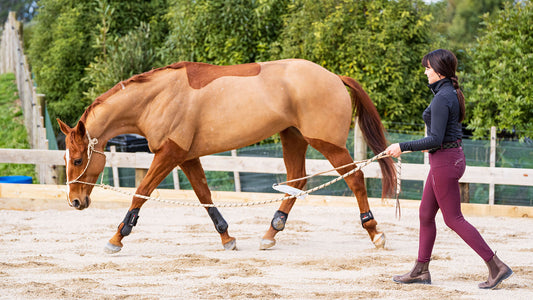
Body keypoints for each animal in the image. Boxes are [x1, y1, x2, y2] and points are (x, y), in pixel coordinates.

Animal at [58, 58, 396, 253]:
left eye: (77, 160)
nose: (75, 201)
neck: (157, 98)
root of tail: (335, 77)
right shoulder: (186, 157)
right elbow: (204, 196)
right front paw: (226, 237)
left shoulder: (169, 154)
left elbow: (140, 192)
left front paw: (117, 237)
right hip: (292, 137)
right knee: (296, 183)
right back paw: (271, 233)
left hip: (327, 144)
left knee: (355, 178)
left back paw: (375, 232)